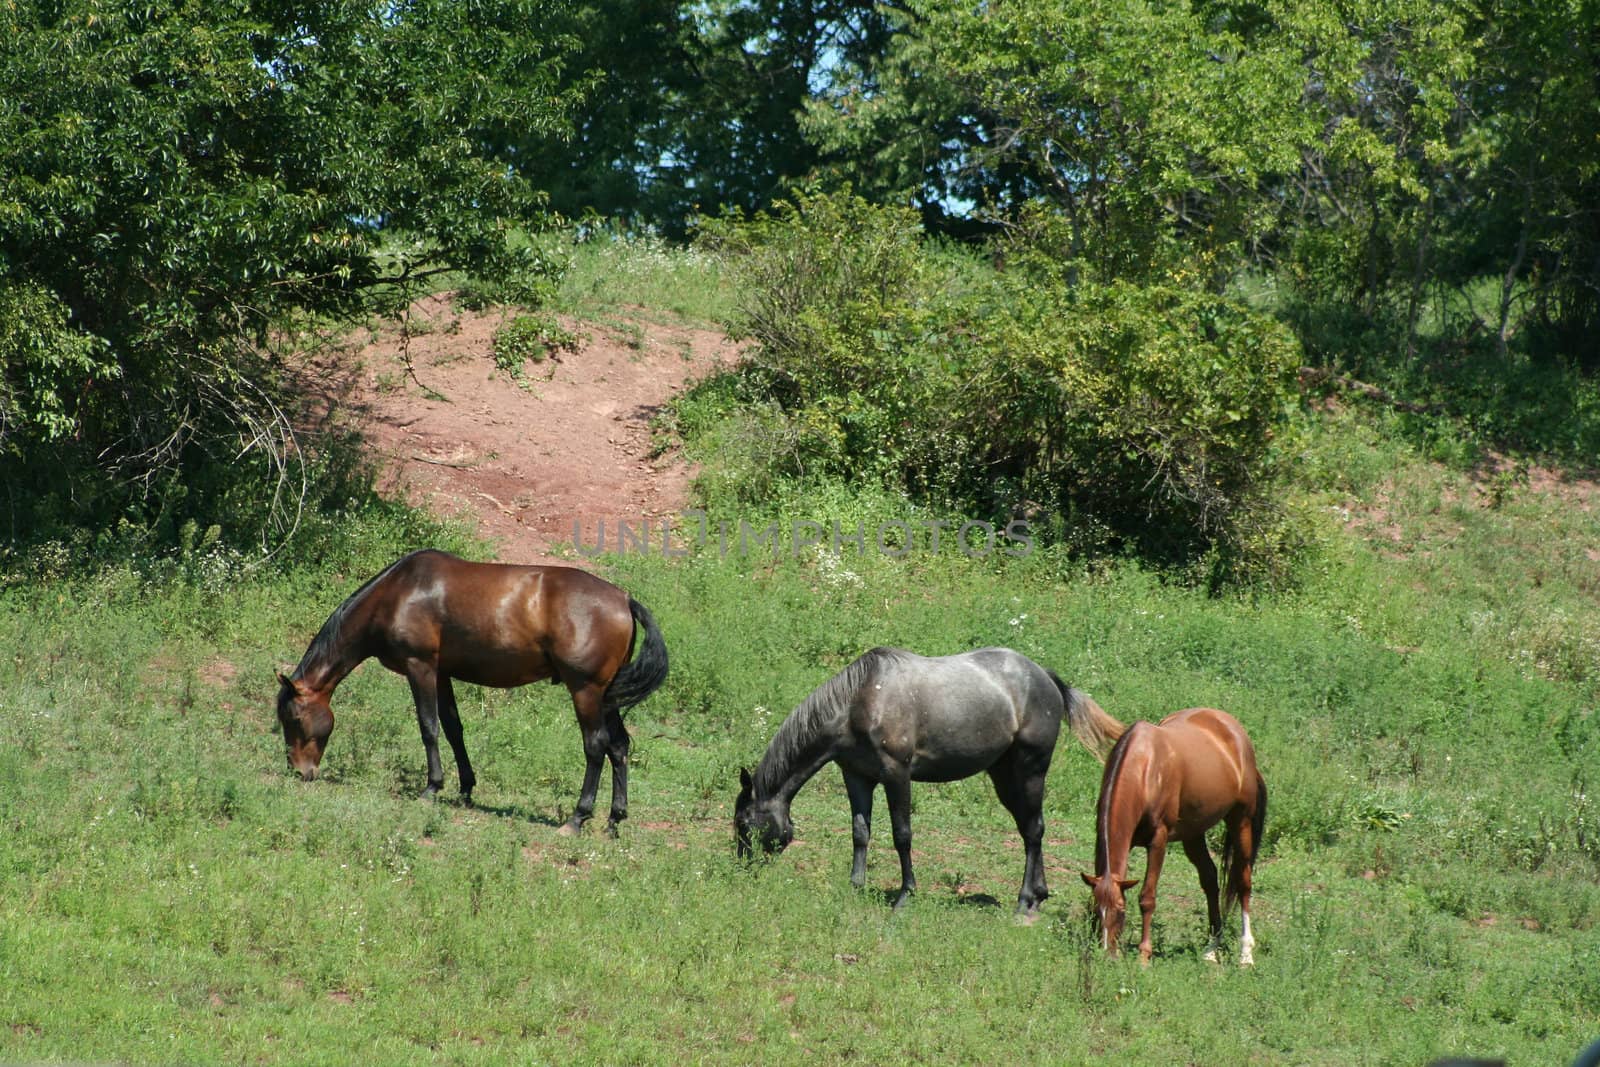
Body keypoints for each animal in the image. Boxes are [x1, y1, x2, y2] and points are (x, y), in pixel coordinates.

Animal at [275, 550, 668, 831]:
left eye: (293, 718)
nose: (300, 770)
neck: (398, 593)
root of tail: (624, 600)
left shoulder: (421, 667)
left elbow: (429, 727)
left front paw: (431, 787)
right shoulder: (442, 674)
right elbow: (453, 728)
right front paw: (465, 788)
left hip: (585, 691)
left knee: (596, 747)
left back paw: (577, 817)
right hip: (606, 696)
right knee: (619, 747)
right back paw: (614, 819)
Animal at [1081, 703, 1267, 966]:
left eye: (1121, 909)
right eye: (1097, 909)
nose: (1108, 955)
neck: (1144, 768)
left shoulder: (1158, 841)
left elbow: (1147, 897)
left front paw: (1144, 955)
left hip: (1241, 822)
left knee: (1243, 882)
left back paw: (1245, 954)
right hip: (1193, 834)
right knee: (1210, 880)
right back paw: (1212, 948)